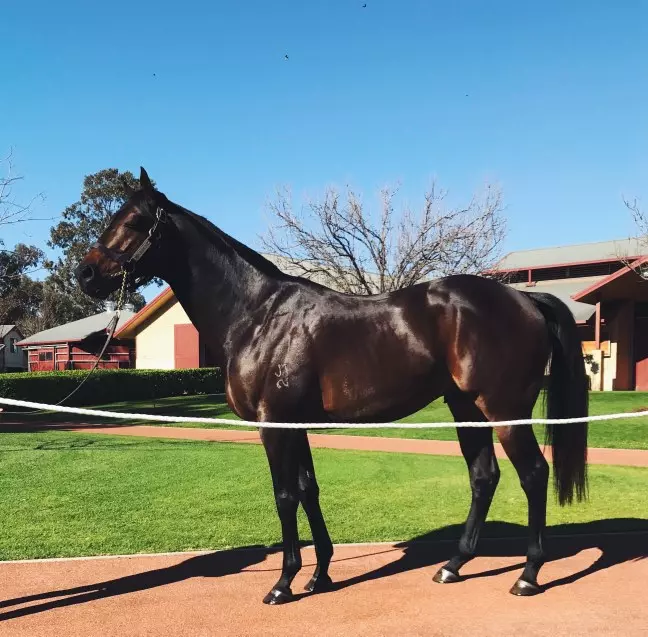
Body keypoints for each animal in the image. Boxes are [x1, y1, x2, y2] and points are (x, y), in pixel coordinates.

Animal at [75, 167, 589, 605]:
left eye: (134, 221)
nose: (85, 274)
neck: (257, 314)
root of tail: (524, 297)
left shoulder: (273, 424)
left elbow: (284, 496)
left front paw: (283, 583)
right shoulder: (295, 424)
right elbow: (309, 489)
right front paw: (320, 574)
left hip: (504, 409)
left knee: (533, 474)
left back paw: (528, 575)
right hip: (465, 408)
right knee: (484, 476)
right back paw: (452, 565)